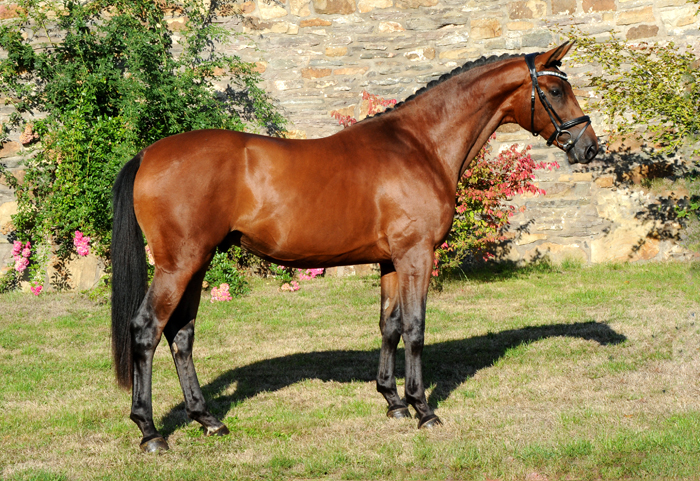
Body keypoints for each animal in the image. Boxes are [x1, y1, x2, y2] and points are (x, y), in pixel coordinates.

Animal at [112, 41, 600, 450]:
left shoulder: (391, 261)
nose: (590, 148)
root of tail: (148, 154)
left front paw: (393, 401)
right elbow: (416, 328)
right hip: (179, 265)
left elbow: (390, 325)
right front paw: (423, 409)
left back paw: (207, 419)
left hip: (197, 263)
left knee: (181, 335)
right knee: (147, 330)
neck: (420, 145)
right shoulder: (417, 255)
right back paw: (150, 431)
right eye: (556, 90)